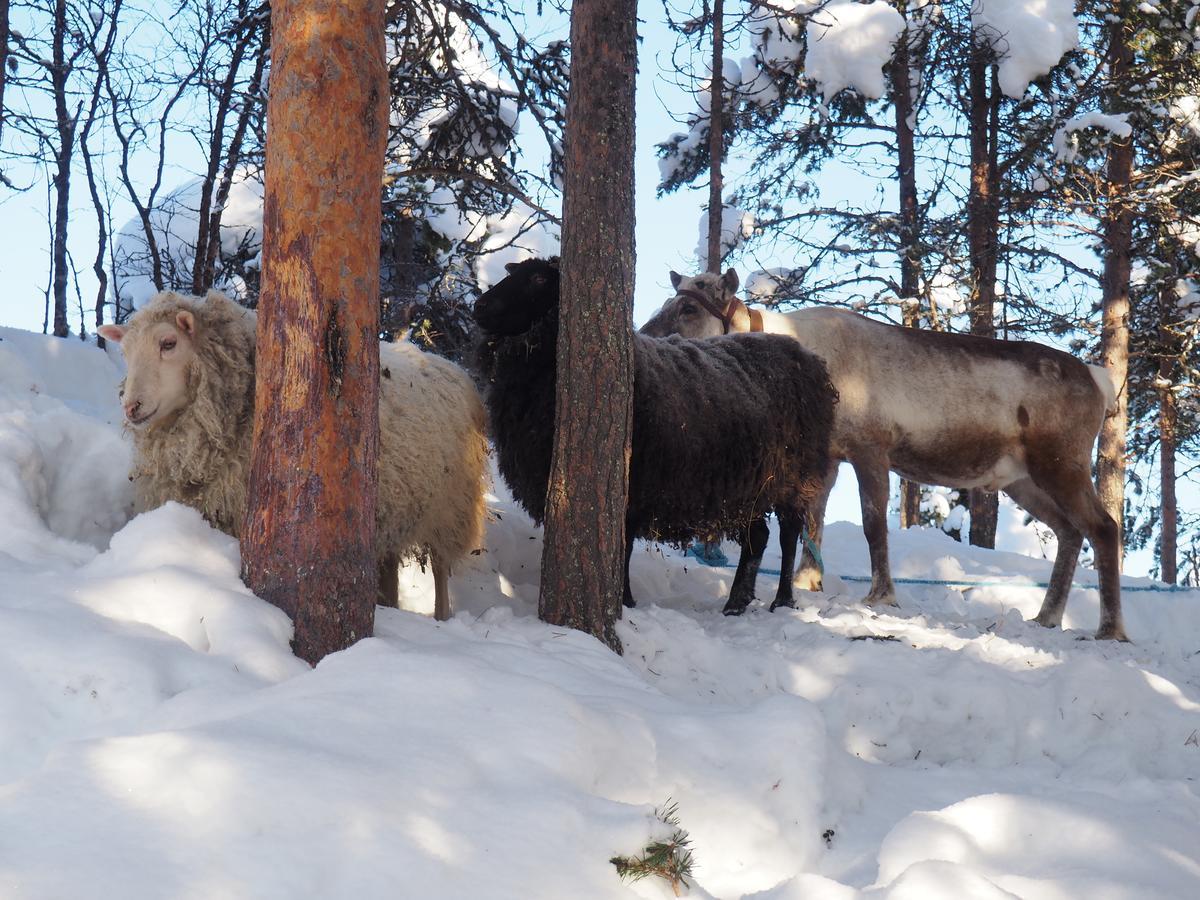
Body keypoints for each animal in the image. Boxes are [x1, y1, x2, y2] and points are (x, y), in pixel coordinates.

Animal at [99, 289, 487, 619]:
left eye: (168, 343)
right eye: (125, 353)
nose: (131, 406)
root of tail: (447, 364)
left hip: (451, 505)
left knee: (440, 567)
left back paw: (442, 617)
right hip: (394, 506)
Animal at [470, 256, 835, 619]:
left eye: (538, 280)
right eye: (513, 273)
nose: (479, 306)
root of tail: (804, 354)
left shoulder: (635, 480)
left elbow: (624, 544)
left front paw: (624, 600)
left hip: (796, 478)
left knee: (787, 537)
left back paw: (782, 600)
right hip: (749, 484)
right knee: (757, 537)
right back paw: (736, 603)